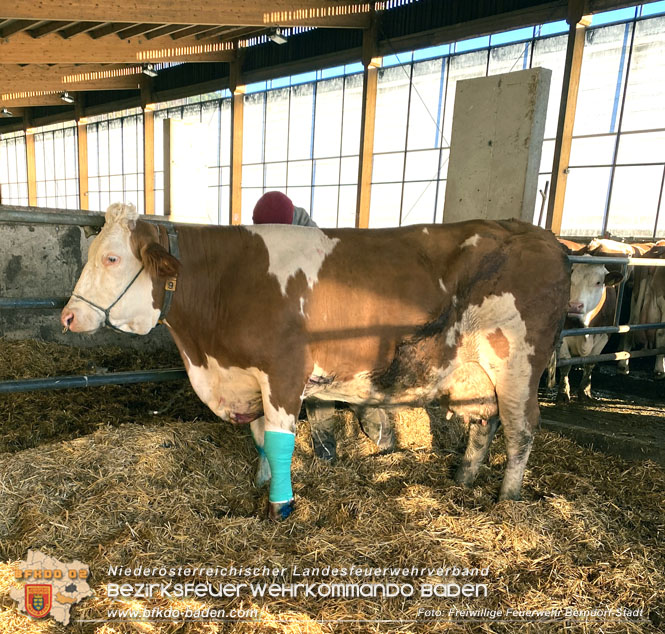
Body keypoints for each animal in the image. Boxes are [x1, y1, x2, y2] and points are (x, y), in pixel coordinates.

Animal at [61, 203, 571, 520]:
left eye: (111, 258)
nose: (68, 316)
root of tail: (545, 238)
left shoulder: (284, 372)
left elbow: (280, 440)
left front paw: (279, 506)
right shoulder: (250, 377)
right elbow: (261, 438)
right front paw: (261, 482)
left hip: (517, 363)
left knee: (521, 429)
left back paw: (507, 497)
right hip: (471, 373)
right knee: (484, 421)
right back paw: (464, 478)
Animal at [557, 259, 623, 403]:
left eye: (598, 282)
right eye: (570, 279)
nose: (574, 306)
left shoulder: (605, 334)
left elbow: (590, 362)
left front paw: (585, 391)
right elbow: (565, 363)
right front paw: (563, 392)